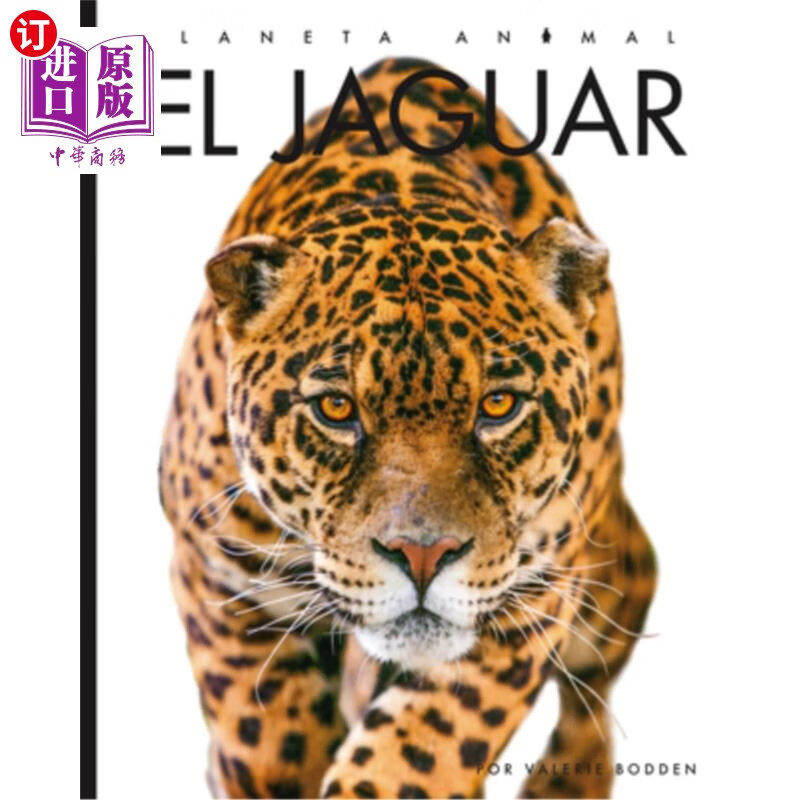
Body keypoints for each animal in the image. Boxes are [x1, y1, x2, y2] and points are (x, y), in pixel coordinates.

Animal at [159, 56, 657, 799]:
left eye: (498, 406)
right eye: (337, 410)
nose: (423, 556)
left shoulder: (531, 594)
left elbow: (417, 752)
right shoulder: (220, 573)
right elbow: (265, 735)